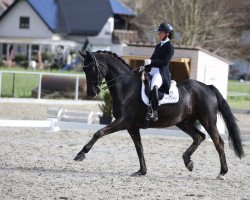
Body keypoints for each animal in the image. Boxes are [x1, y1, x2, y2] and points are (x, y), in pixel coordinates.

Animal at [75, 50, 244, 180]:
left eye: (91, 69)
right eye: (84, 69)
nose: (91, 93)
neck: (126, 86)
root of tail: (208, 87)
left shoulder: (123, 121)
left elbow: (99, 133)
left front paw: (81, 154)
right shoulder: (132, 126)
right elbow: (139, 147)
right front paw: (142, 171)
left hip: (207, 120)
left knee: (218, 142)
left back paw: (222, 173)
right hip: (183, 122)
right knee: (199, 137)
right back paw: (188, 162)